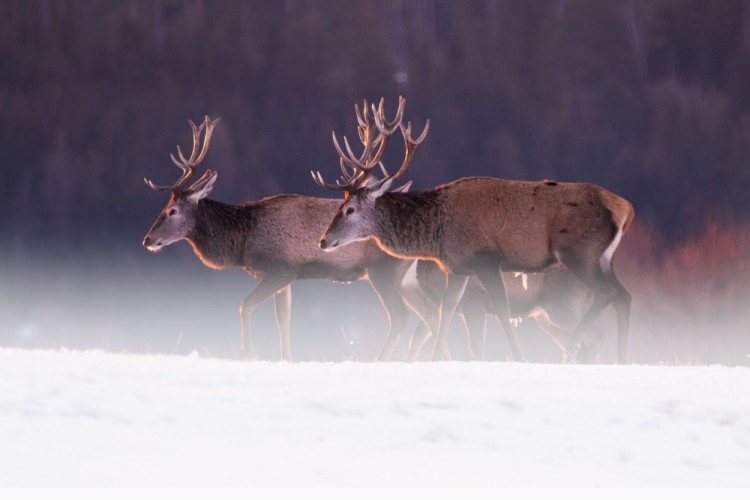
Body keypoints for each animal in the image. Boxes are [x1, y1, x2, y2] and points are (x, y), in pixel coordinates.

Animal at [143, 115, 414, 362]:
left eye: (172, 211)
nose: (147, 239)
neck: (242, 241)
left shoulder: (280, 270)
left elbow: (245, 306)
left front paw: (250, 354)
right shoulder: (285, 277)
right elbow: (283, 321)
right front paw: (286, 359)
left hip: (384, 269)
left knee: (400, 315)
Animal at [312, 96, 636, 364]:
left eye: (349, 210)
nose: (324, 240)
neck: (436, 231)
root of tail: (624, 207)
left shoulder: (487, 259)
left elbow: (501, 310)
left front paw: (519, 357)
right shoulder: (458, 267)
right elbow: (445, 312)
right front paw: (435, 359)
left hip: (579, 252)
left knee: (608, 296)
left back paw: (576, 345)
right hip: (601, 259)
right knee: (623, 296)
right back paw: (620, 359)